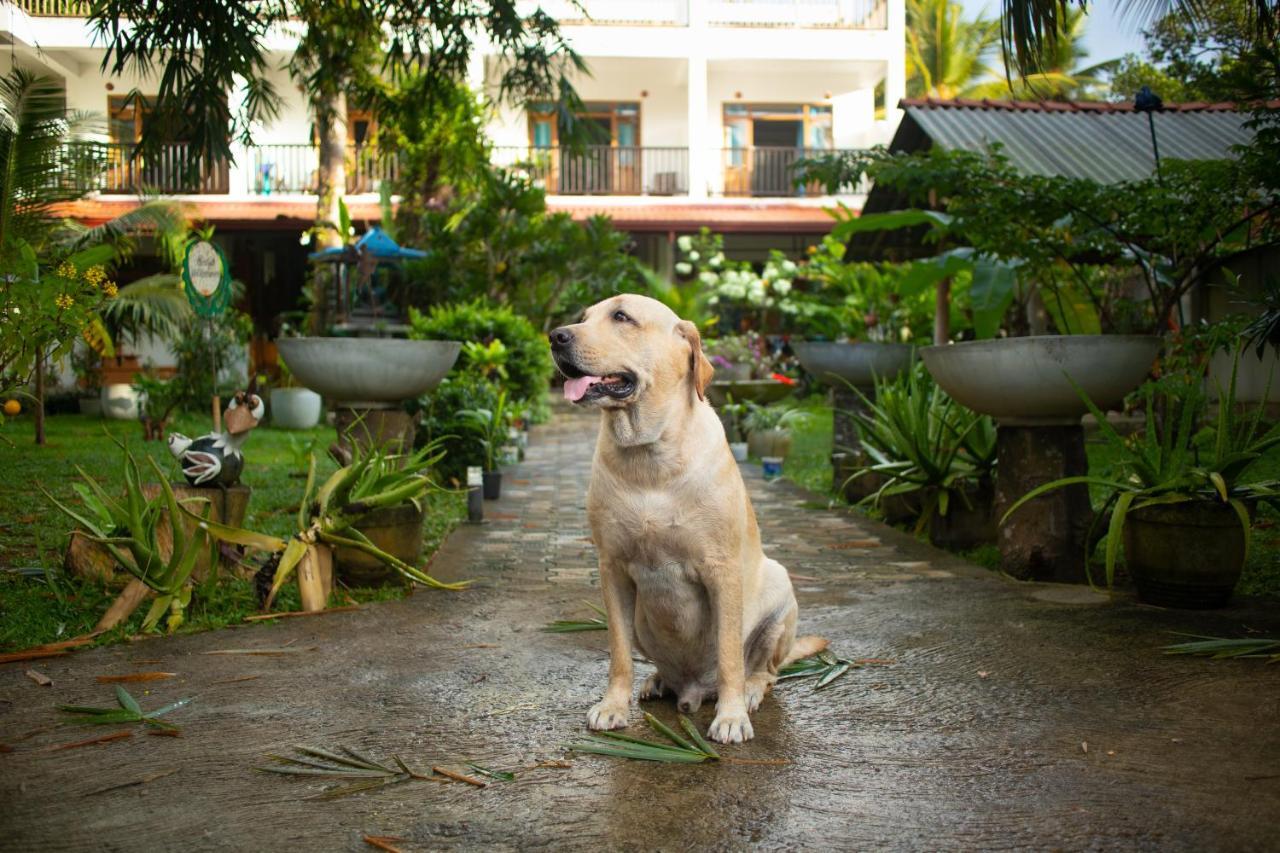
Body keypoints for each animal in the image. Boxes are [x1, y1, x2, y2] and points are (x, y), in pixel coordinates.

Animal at [550, 292, 829, 737]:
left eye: (622, 317)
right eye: (584, 317)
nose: (555, 336)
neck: (648, 455)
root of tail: (694, 688)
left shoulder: (722, 570)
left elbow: (730, 655)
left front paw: (731, 716)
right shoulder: (612, 568)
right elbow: (618, 652)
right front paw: (613, 705)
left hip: (780, 592)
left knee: (766, 671)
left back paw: (749, 691)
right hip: (642, 619)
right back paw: (658, 680)